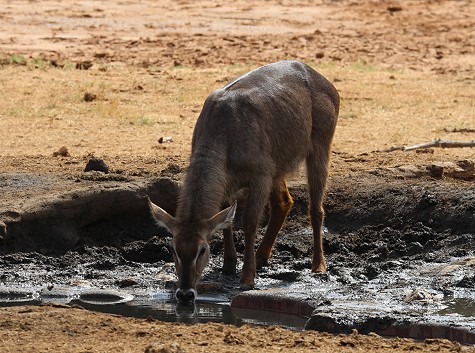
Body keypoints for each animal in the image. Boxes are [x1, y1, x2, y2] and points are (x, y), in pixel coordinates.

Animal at [151, 59, 340, 302]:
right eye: (173, 249)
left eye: (202, 249)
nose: (185, 293)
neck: (223, 130)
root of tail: (320, 78)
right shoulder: (229, 181)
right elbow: (227, 221)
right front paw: (229, 265)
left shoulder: (260, 176)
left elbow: (249, 222)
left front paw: (247, 277)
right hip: (277, 168)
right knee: (284, 203)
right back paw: (262, 256)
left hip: (319, 150)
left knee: (315, 209)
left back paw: (318, 266)